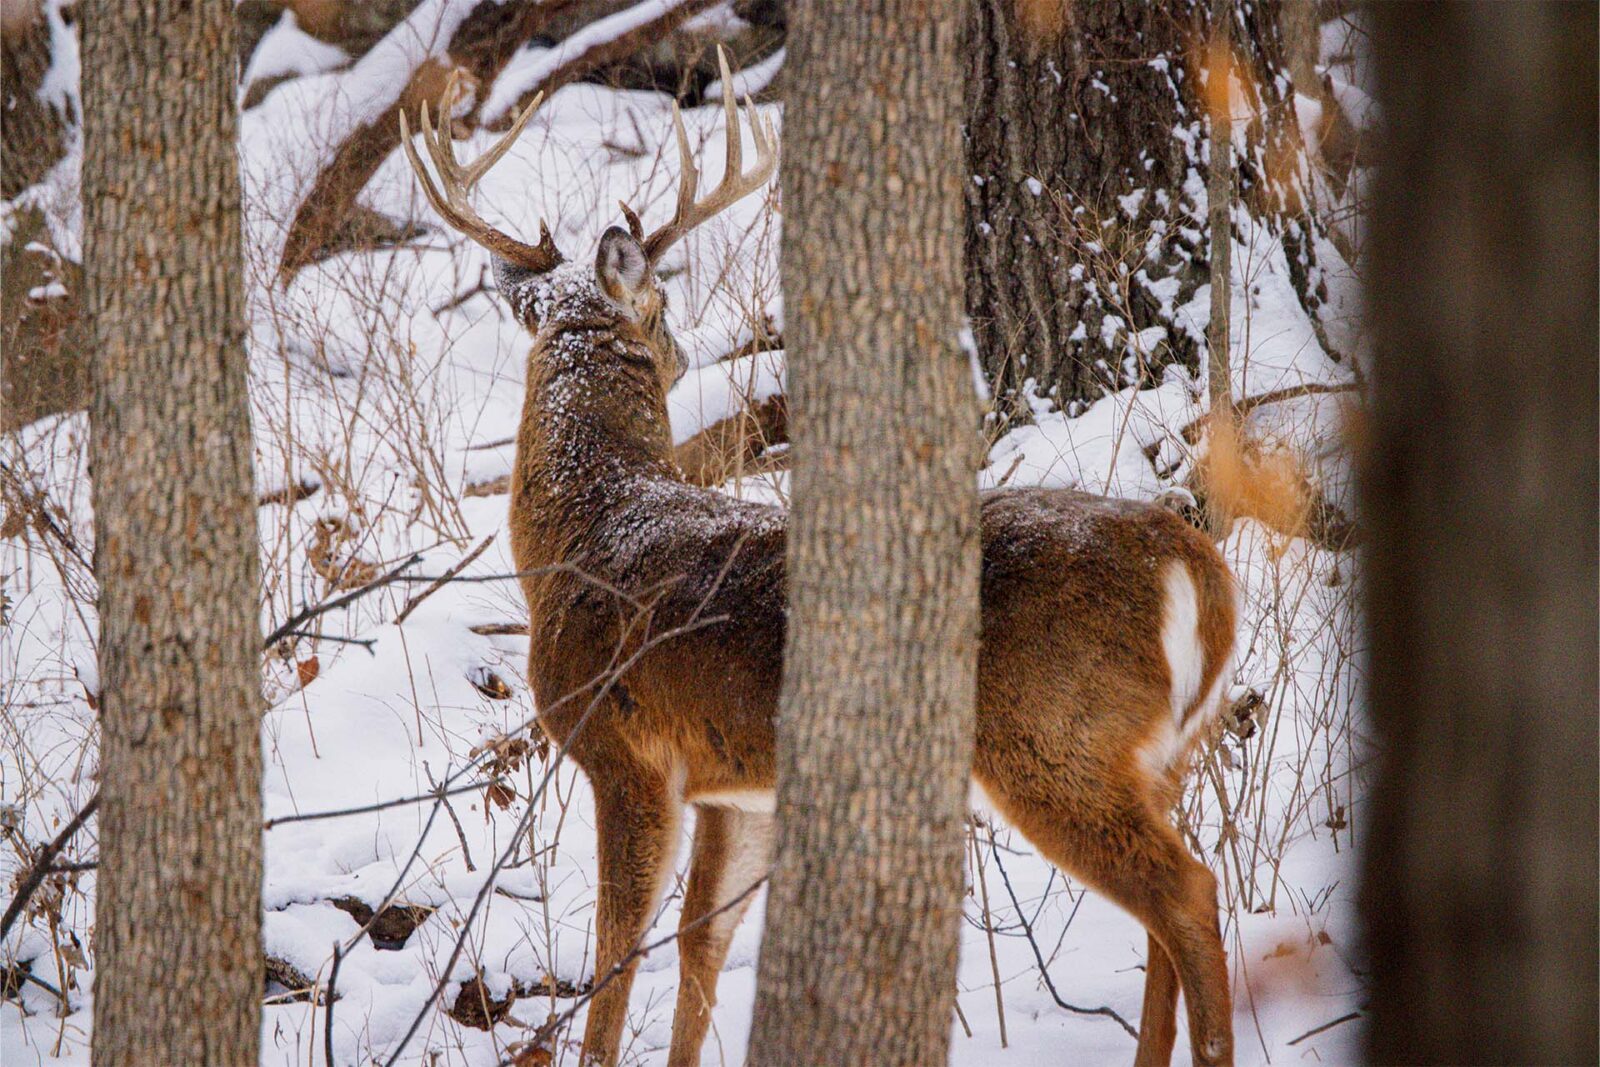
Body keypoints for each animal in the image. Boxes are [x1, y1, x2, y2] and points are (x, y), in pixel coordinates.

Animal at [400, 60, 1235, 1067]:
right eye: (667, 309)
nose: (685, 349)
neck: (583, 535)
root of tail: (1195, 565)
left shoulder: (624, 749)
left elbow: (617, 951)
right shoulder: (740, 789)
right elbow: (701, 944)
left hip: (1055, 739)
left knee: (1188, 893)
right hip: (1158, 752)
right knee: (1169, 907)